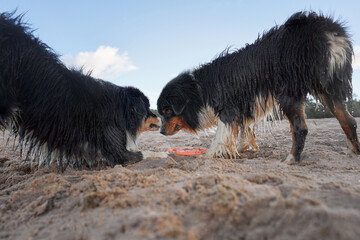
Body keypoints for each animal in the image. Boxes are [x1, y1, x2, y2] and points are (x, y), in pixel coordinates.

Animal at [158, 12, 360, 164]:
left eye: (167, 111)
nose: (160, 131)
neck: (198, 89)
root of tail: (327, 31)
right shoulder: (245, 109)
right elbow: (245, 131)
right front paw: (243, 148)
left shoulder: (227, 109)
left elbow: (221, 135)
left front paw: (210, 154)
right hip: (327, 89)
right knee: (349, 120)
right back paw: (354, 152)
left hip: (289, 93)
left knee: (300, 128)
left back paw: (291, 159)